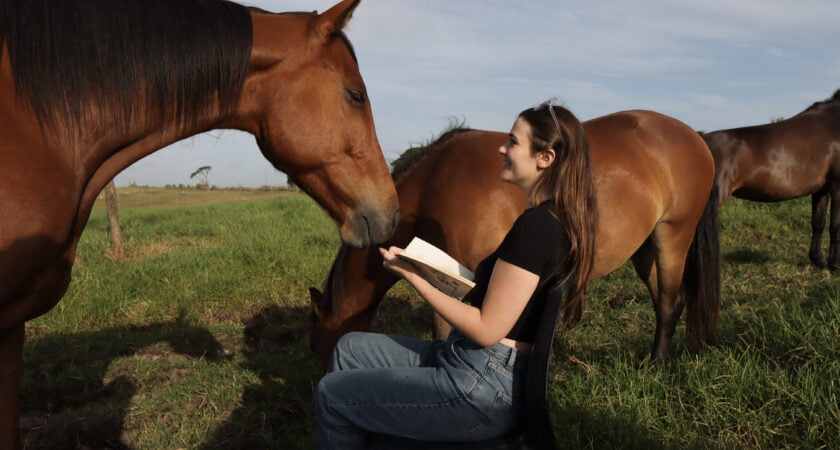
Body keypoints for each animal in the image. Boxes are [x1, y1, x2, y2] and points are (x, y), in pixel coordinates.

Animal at [701, 89, 840, 270]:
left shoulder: (821, 190)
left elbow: (818, 224)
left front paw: (819, 261)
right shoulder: (837, 187)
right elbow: (835, 226)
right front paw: (835, 265)